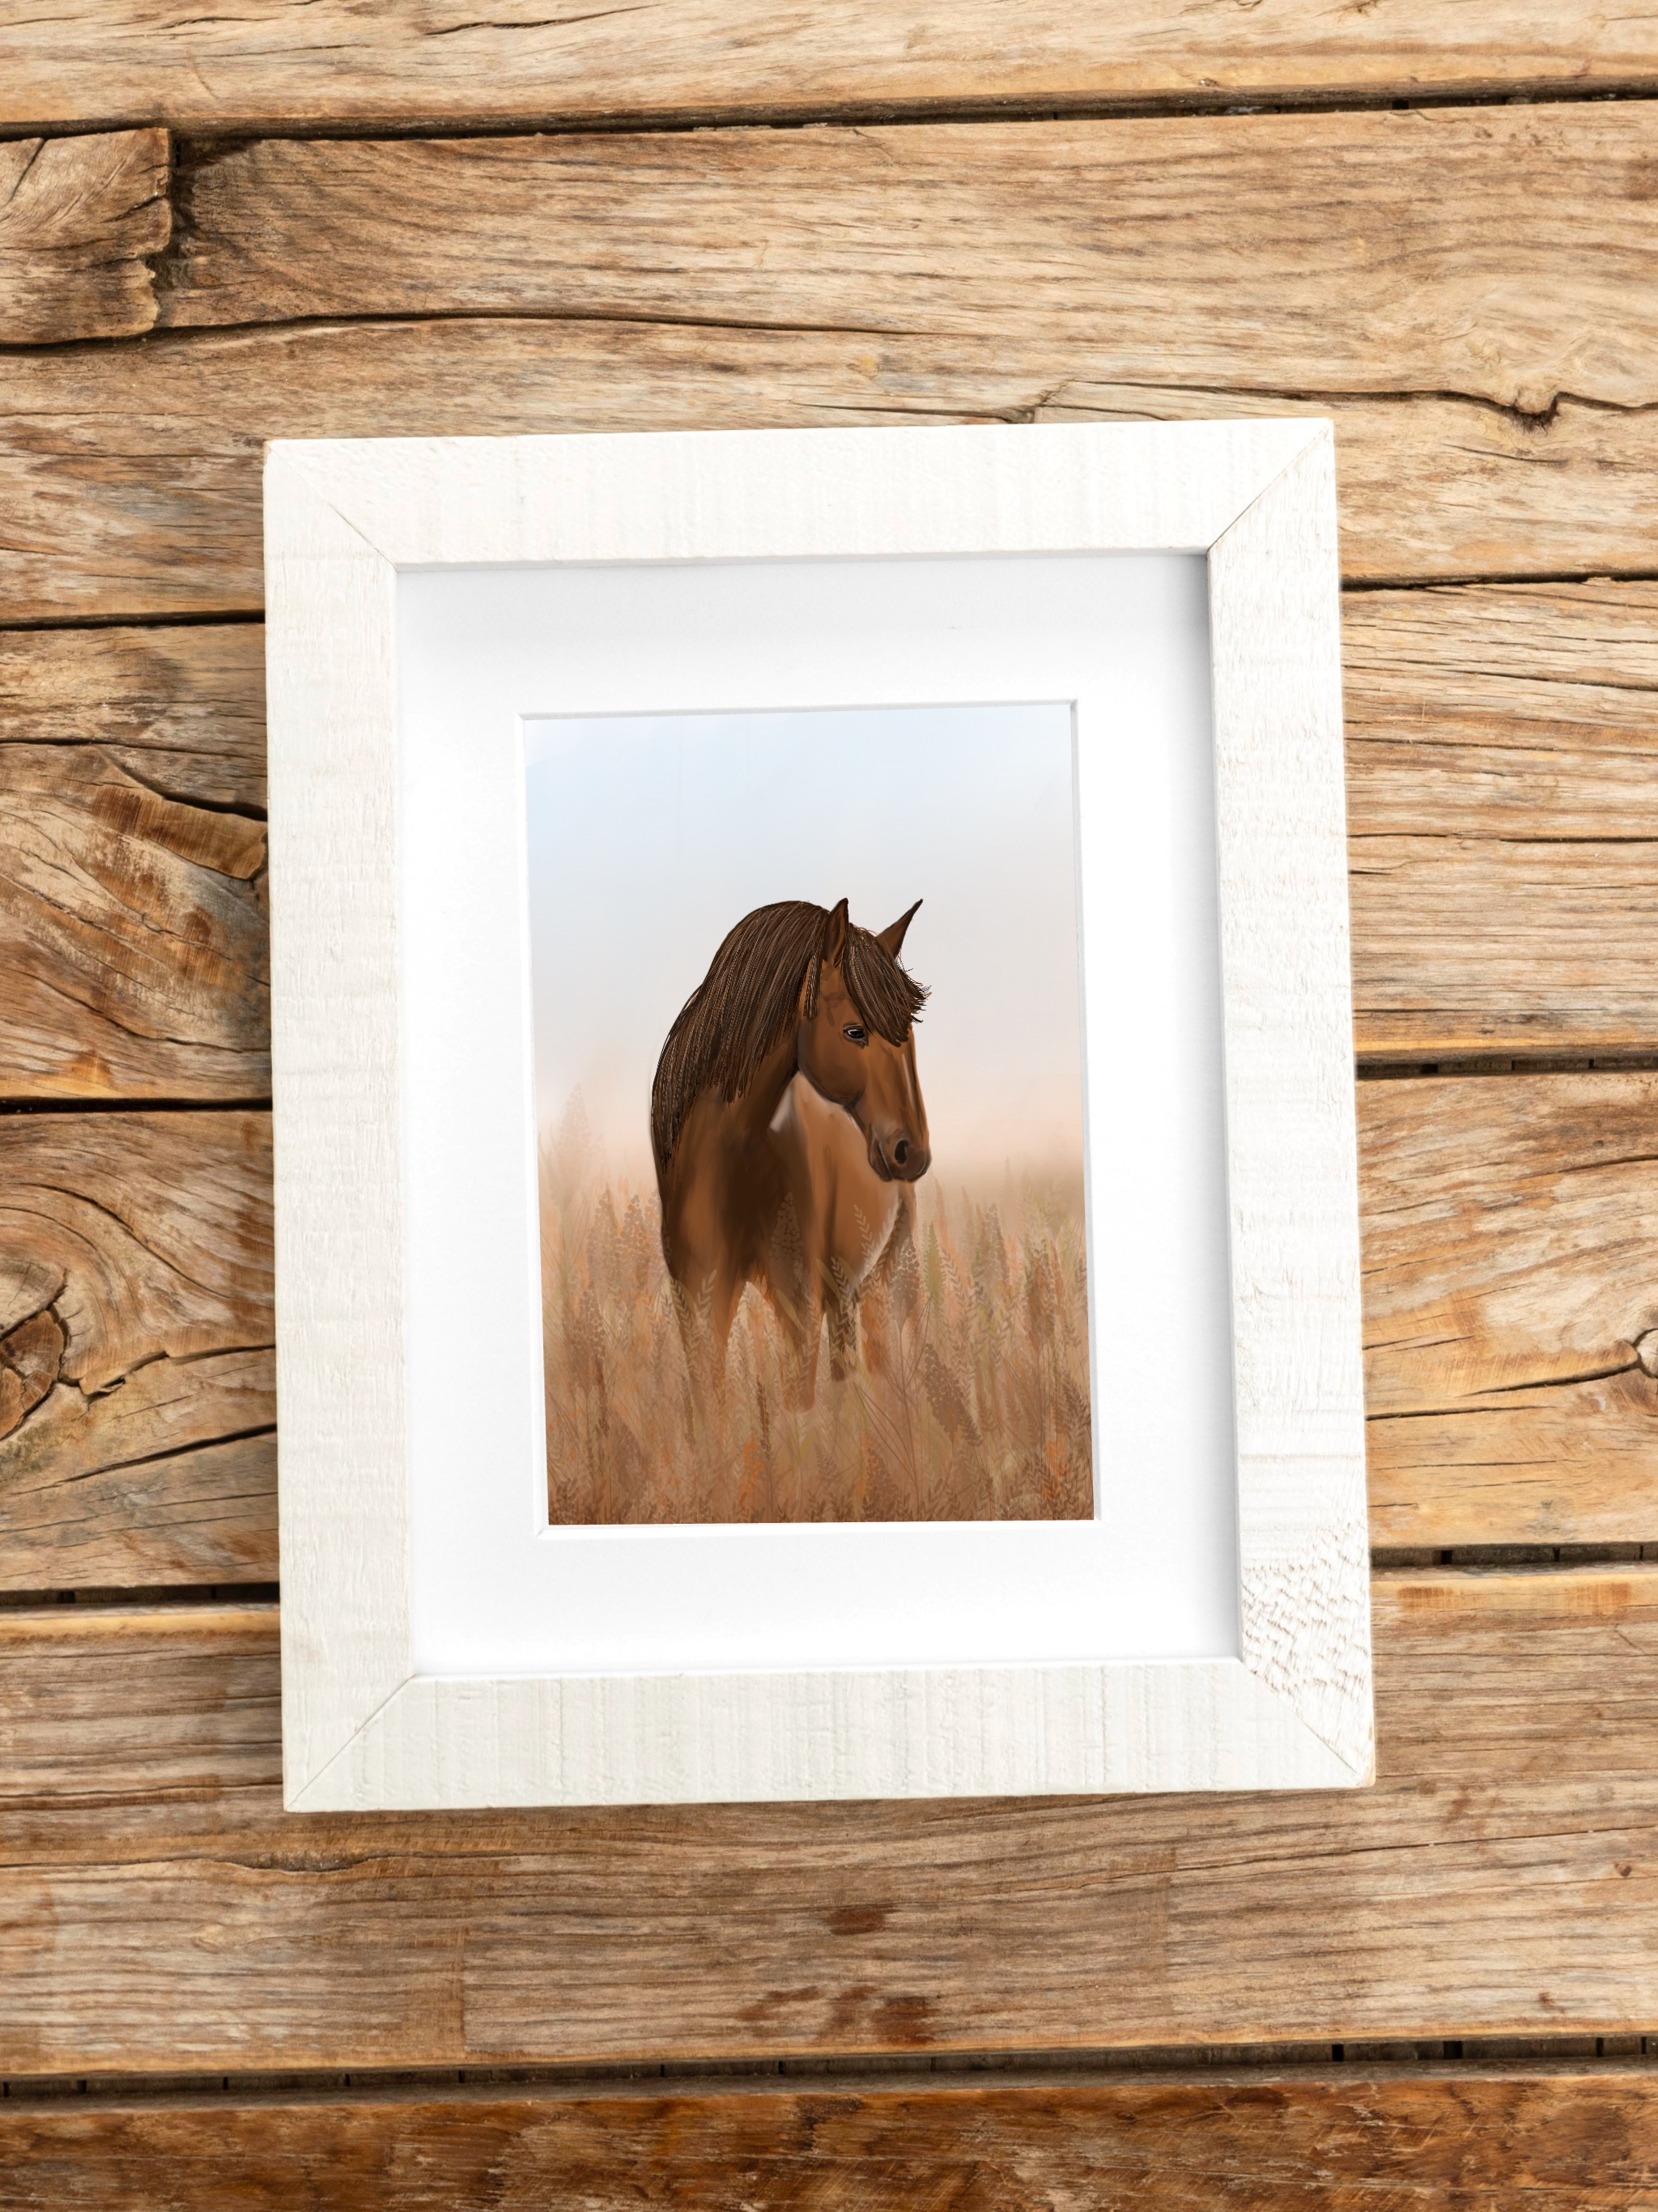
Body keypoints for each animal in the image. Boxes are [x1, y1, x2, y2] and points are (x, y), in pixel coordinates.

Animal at [650, 896, 931, 1406]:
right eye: (855, 1032)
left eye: (910, 1036)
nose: (912, 1152)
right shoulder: (698, 1301)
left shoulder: (799, 1306)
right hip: (844, 1293)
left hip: (888, 1285)